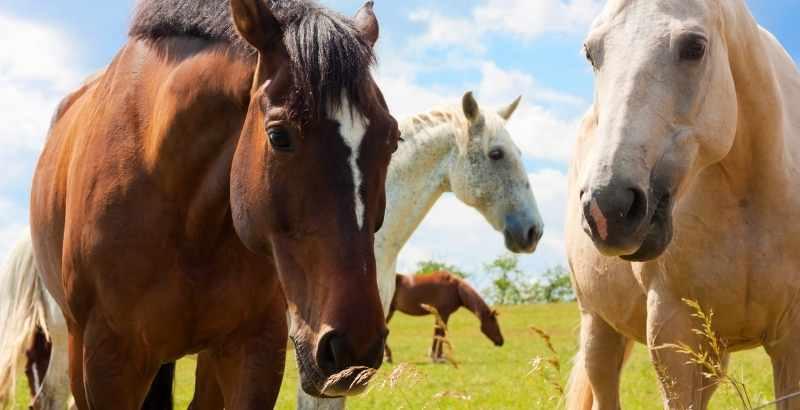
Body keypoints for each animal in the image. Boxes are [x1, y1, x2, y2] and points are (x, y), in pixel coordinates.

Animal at [565, 0, 800, 409]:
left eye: (695, 47)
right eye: (591, 53)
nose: (608, 208)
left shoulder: (791, 342)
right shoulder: (673, 332)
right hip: (598, 327)